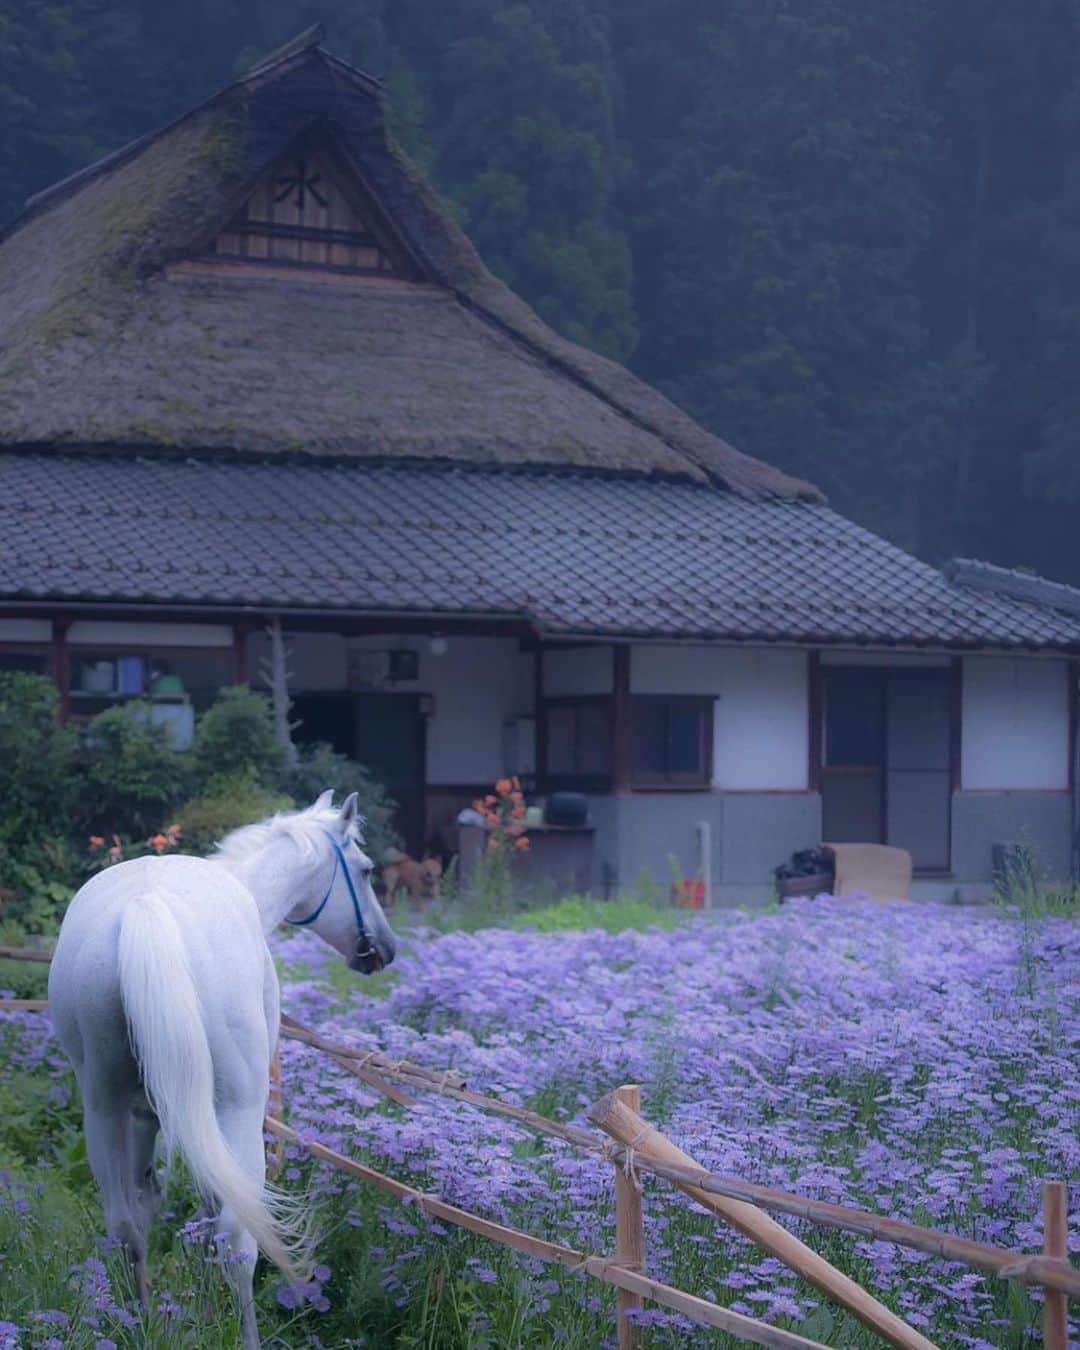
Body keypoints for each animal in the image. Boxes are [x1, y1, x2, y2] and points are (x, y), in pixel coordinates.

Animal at [47, 788, 396, 1350]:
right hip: (237, 1109)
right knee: (236, 1236)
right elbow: (215, 1215)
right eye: (365, 871)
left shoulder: (146, 1114)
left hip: (102, 1107)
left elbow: (149, 1203)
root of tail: (145, 909)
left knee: (124, 1226)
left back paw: (137, 1322)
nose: (383, 949)